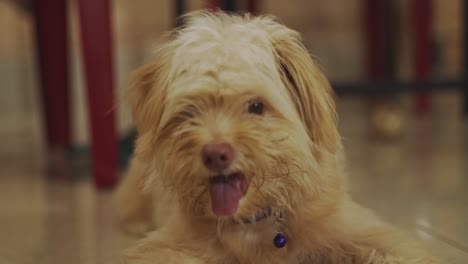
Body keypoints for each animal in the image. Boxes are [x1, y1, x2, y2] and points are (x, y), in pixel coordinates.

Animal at [112, 10, 438, 264]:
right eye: (190, 111)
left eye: (256, 106)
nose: (215, 153)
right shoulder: (164, 245)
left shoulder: (362, 230)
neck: (256, 222)